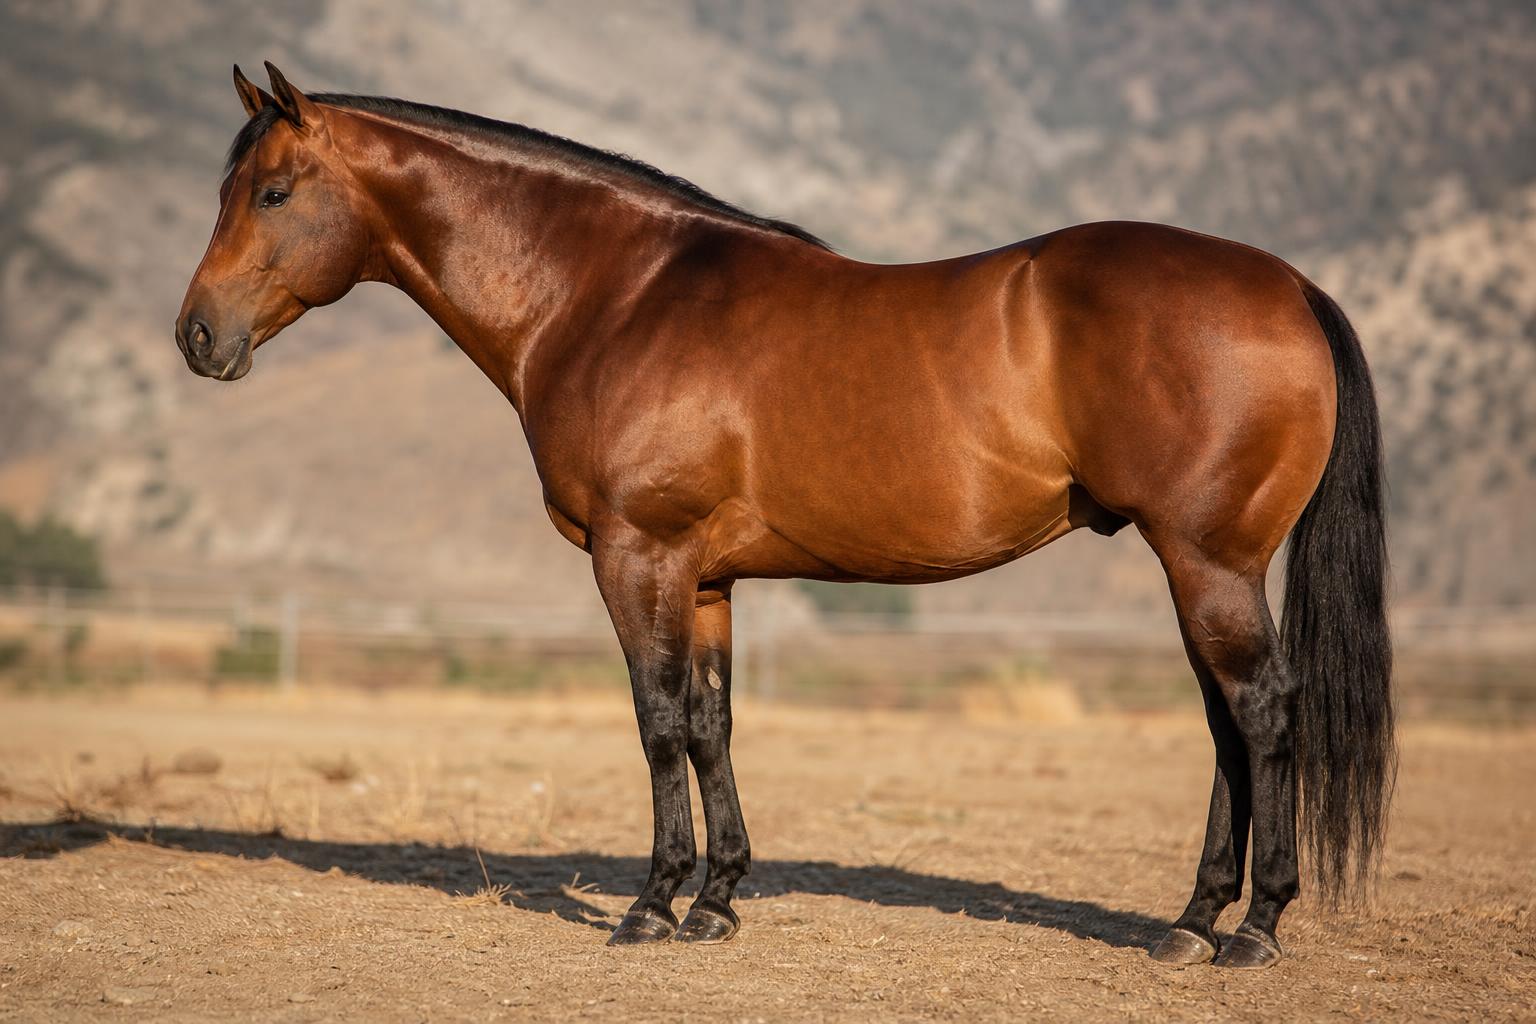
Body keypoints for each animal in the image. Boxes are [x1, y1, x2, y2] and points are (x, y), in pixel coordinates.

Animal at [176, 63, 1393, 969]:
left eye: (273, 193)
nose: (196, 336)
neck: (611, 295)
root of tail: (1287, 287)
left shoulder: (638, 556)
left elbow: (657, 720)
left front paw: (650, 906)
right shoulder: (707, 577)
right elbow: (712, 723)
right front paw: (717, 901)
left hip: (1209, 562)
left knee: (1262, 713)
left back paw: (1251, 928)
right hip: (1199, 569)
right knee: (1227, 726)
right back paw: (1192, 922)